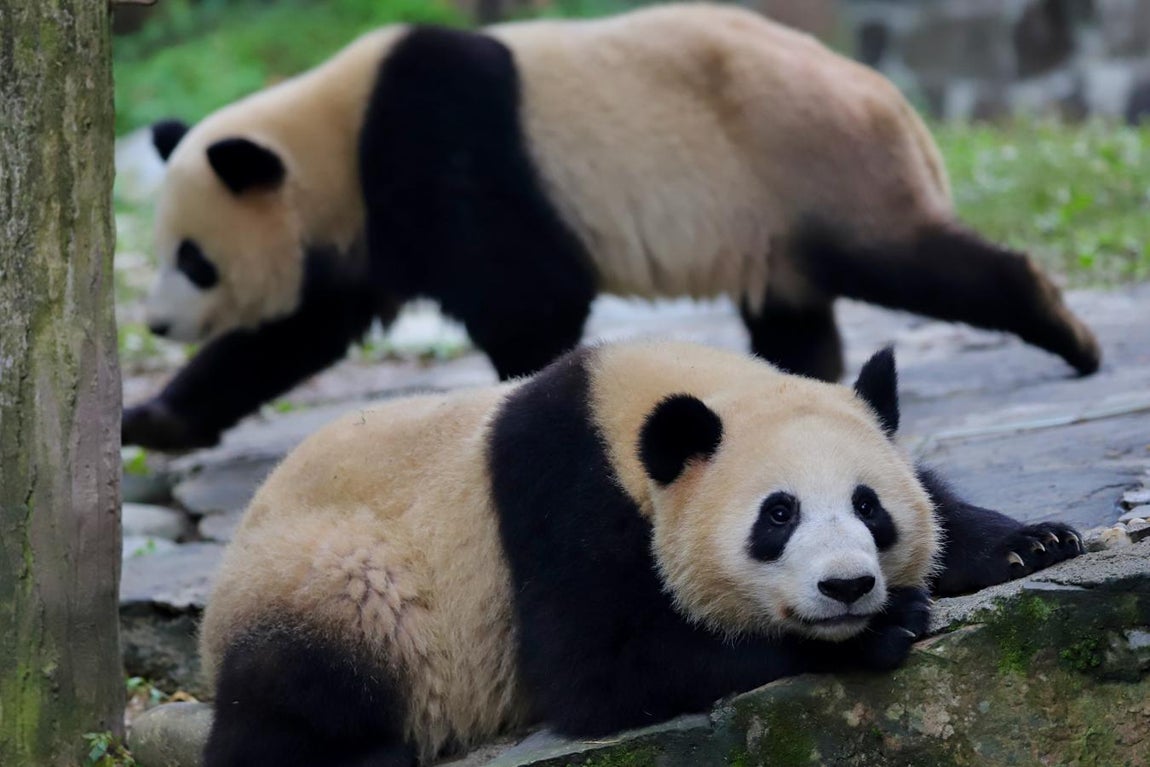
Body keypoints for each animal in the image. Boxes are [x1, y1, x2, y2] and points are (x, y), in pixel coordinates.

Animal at [123, 3, 1101, 451]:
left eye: (195, 259)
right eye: (166, 254)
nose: (157, 324)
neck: (335, 137)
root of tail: (895, 101)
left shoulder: (444, 147)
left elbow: (529, 294)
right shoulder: (364, 231)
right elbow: (292, 334)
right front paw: (150, 419)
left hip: (812, 162)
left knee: (908, 261)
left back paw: (1069, 331)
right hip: (778, 218)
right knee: (794, 314)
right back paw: (800, 388)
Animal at [200, 340, 1083, 767]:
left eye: (870, 506)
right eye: (778, 515)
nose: (847, 586)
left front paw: (1029, 541)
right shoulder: (559, 494)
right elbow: (600, 668)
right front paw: (881, 626)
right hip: (330, 573)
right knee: (309, 674)